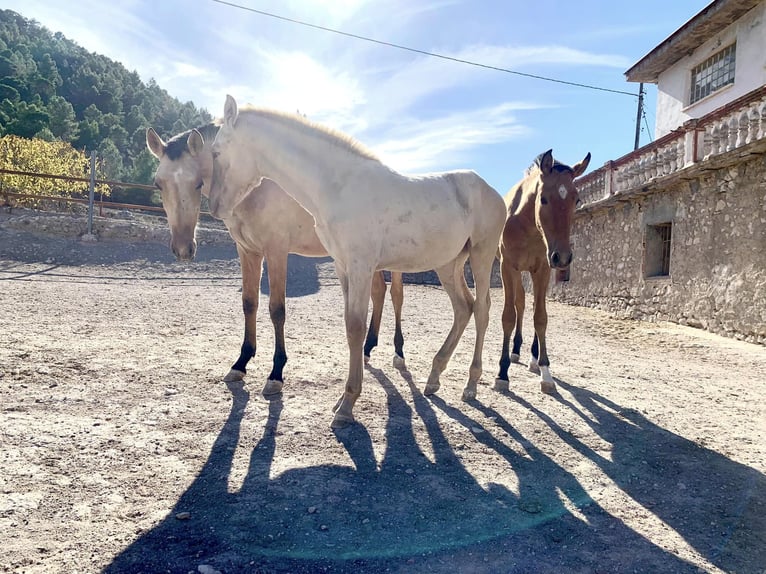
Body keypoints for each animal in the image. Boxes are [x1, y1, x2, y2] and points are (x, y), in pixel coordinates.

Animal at [146, 125, 408, 400]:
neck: (254, 187)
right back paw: (367, 349)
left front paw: (276, 374)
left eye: (197, 183)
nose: (183, 249)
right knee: (378, 292)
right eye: (158, 184)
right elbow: (249, 303)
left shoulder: (276, 251)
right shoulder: (248, 251)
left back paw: (398, 354)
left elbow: (277, 310)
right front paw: (240, 363)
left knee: (396, 296)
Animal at [207, 95, 508, 428]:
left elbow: (355, 326)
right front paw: (342, 400)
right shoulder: (343, 267)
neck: (338, 186)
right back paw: (433, 377)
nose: (215, 206)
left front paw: (347, 405)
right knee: (463, 308)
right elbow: (350, 327)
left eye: (216, 151)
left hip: (481, 256)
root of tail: (494, 193)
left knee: (481, 310)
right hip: (448, 264)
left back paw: (471, 384)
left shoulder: (360, 266)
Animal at [496, 150, 592, 396]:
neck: (528, 225)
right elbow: (508, 316)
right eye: (544, 199)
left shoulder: (543, 268)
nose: (563, 257)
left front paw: (545, 371)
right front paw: (502, 373)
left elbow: (540, 317)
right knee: (519, 304)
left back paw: (532, 358)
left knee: (530, 306)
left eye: (576, 199)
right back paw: (515, 351)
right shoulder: (507, 266)